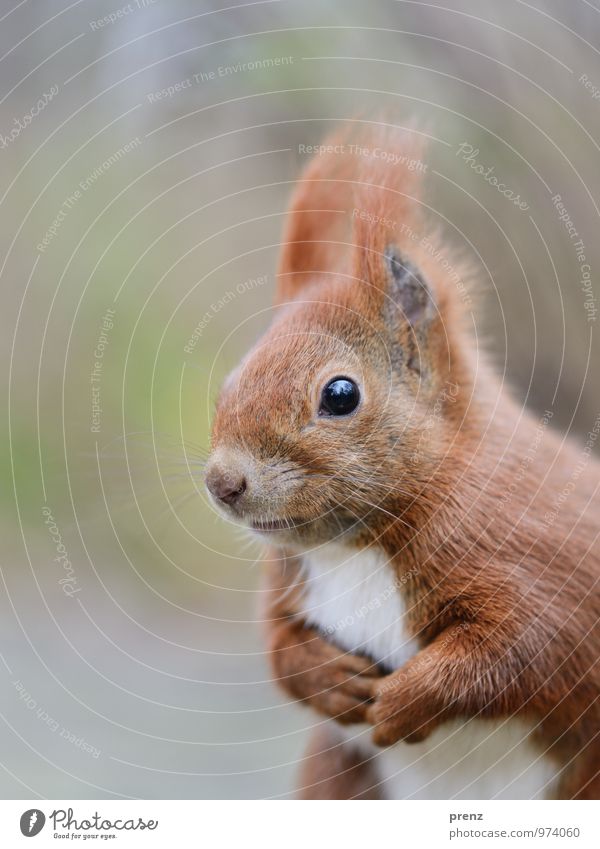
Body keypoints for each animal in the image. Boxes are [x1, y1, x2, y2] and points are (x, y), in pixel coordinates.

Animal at [205, 122, 600, 800]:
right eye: (232, 378)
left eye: (341, 395)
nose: (222, 483)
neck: (359, 546)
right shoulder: (289, 580)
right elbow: (278, 647)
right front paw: (329, 678)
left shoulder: (542, 554)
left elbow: (532, 648)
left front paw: (406, 700)